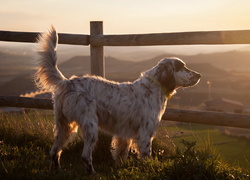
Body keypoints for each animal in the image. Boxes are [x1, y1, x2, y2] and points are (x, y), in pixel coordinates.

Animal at [34, 26, 201, 174]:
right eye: (182, 67)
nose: (199, 75)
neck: (154, 87)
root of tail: (67, 82)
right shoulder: (145, 133)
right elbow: (146, 156)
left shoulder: (124, 134)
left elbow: (121, 154)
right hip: (90, 126)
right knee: (85, 156)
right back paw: (92, 172)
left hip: (64, 125)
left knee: (54, 151)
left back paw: (58, 170)